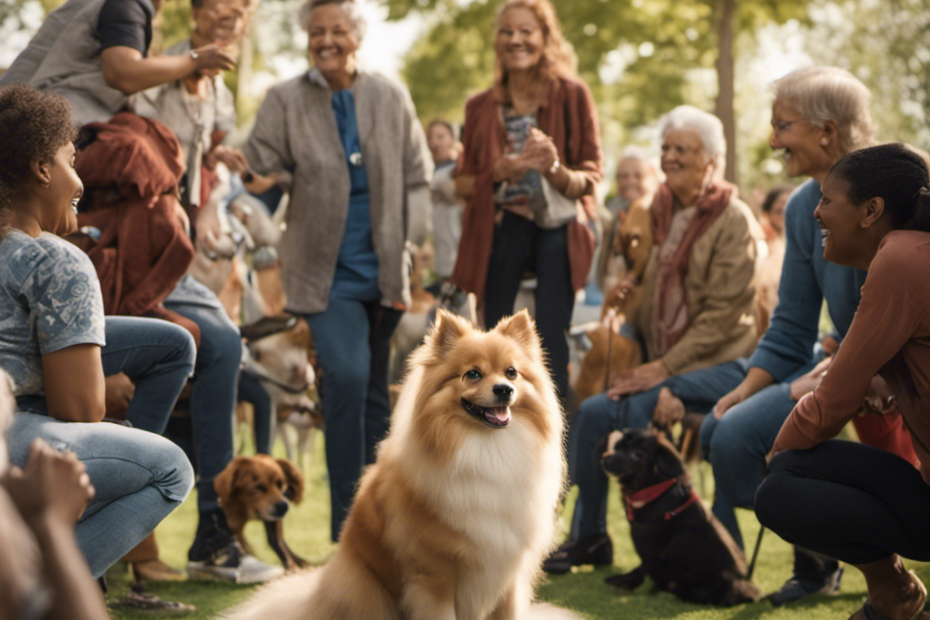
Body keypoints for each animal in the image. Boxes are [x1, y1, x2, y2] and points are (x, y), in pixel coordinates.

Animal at [222, 310, 580, 620]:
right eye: (473, 374)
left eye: (512, 373)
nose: (504, 389)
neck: (487, 448)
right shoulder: (435, 574)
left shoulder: (508, 576)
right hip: (367, 589)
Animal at [600, 428, 756, 608]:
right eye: (619, 447)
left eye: (638, 454)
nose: (605, 458)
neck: (651, 490)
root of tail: (746, 586)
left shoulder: (655, 546)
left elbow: (642, 567)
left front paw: (624, 583)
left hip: (685, 539)